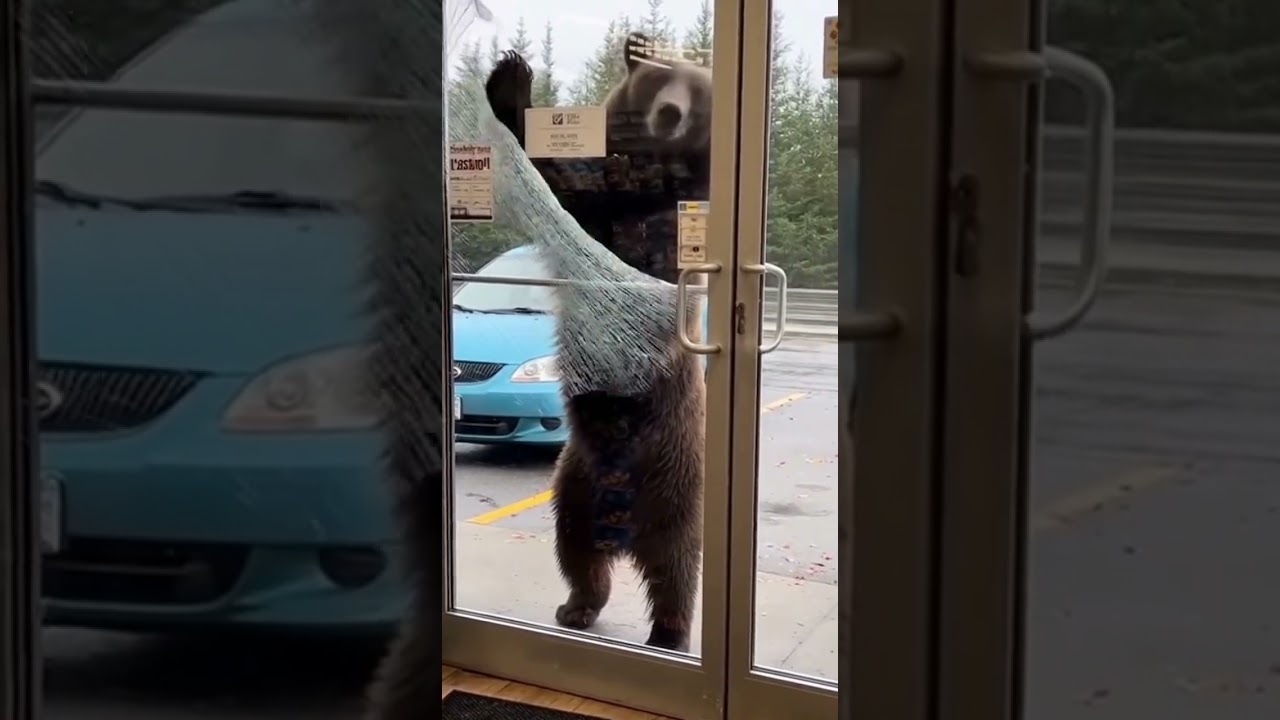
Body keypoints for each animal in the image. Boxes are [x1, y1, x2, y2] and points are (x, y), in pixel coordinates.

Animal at [482, 32, 712, 652]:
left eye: (696, 90)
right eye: (657, 80)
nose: (669, 113)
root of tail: (623, 528)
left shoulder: (667, 220)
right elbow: (566, 189)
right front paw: (509, 79)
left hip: (674, 488)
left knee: (676, 571)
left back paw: (669, 633)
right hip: (574, 490)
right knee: (578, 555)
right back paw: (577, 608)